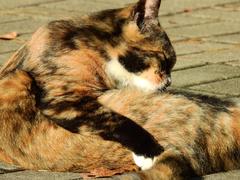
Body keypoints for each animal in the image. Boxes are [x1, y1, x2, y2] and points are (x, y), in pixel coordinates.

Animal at [0, 0, 176, 170]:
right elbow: (117, 120)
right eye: (165, 61)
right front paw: (151, 151)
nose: (169, 82)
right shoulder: (64, 100)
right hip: (20, 78)